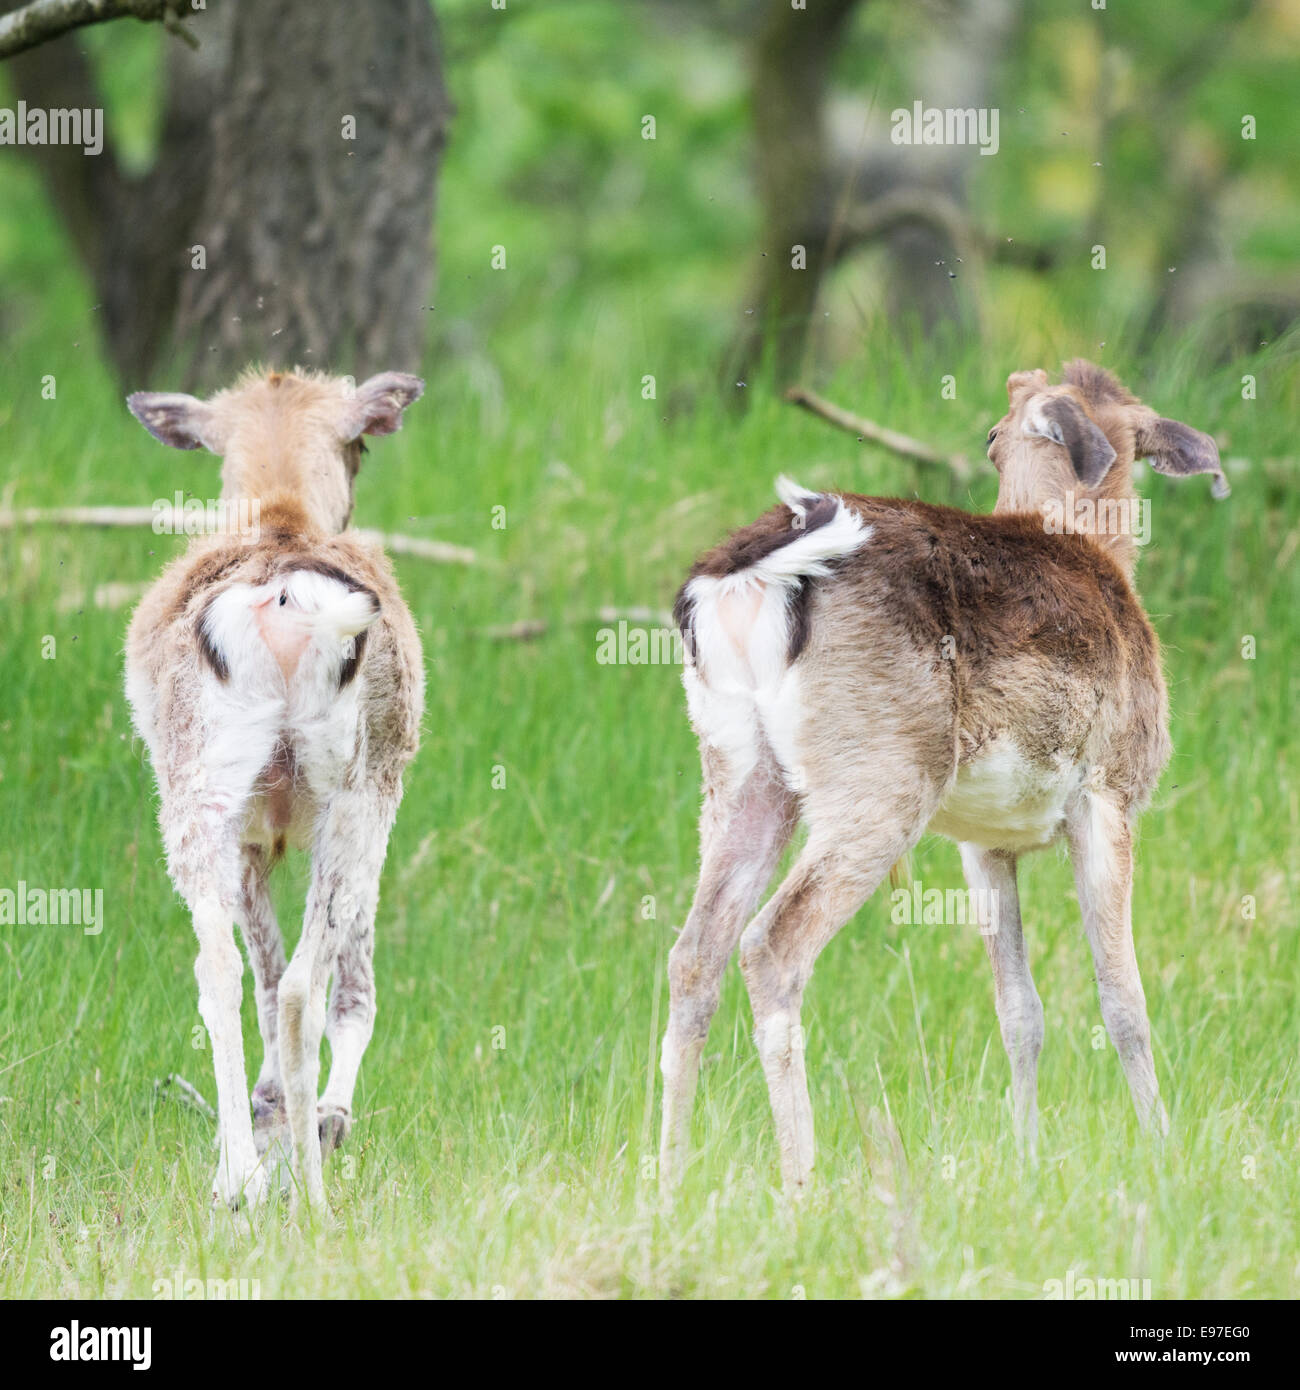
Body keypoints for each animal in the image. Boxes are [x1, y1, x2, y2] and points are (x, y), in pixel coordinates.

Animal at [124, 368, 425, 1212]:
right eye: (360, 446)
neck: (282, 510)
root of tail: (289, 603)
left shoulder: (253, 831)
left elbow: (256, 963)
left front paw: (272, 1119)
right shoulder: (379, 788)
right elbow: (348, 982)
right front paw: (321, 1117)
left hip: (201, 792)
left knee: (220, 968)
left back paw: (238, 1176)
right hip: (353, 794)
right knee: (302, 985)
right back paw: (309, 1180)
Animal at [659, 360, 1227, 1197]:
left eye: (990, 434)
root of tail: (743, 579)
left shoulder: (983, 843)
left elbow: (1019, 1009)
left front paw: (1026, 1162)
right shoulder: (1111, 793)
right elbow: (1124, 999)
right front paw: (1165, 1158)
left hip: (741, 775)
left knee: (694, 951)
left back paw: (667, 1179)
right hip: (882, 779)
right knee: (771, 942)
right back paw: (802, 1186)